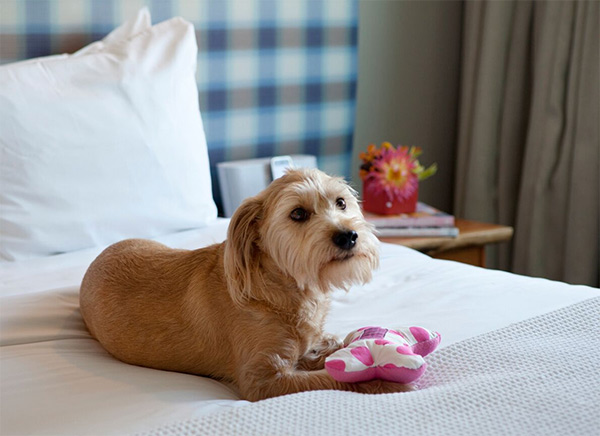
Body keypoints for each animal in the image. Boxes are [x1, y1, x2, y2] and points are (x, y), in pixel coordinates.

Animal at [79, 169, 412, 400]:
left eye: (341, 202)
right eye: (298, 213)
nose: (348, 236)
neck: (282, 287)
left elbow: (327, 350)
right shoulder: (263, 380)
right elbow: (331, 379)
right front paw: (383, 380)